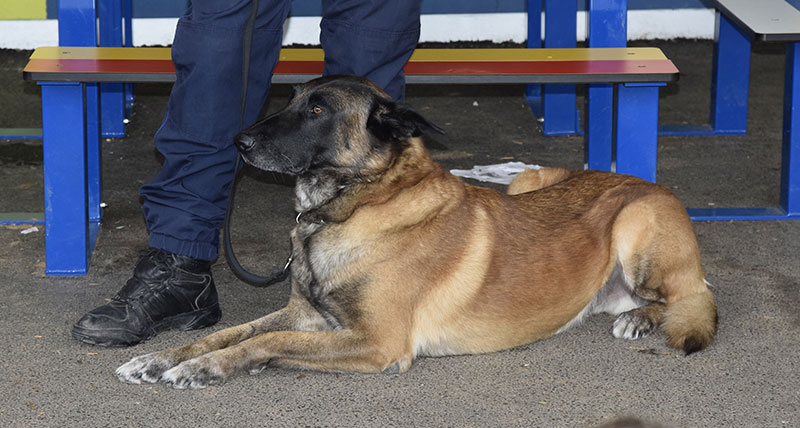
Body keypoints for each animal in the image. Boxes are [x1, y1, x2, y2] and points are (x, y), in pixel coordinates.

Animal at [114, 75, 720, 390]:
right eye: (291, 98)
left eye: (317, 110)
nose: (238, 142)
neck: (356, 205)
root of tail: (644, 181)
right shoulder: (305, 314)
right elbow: (228, 332)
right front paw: (165, 357)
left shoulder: (377, 343)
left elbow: (265, 342)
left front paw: (203, 368)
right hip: (528, 180)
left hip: (636, 225)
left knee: (695, 295)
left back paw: (643, 318)